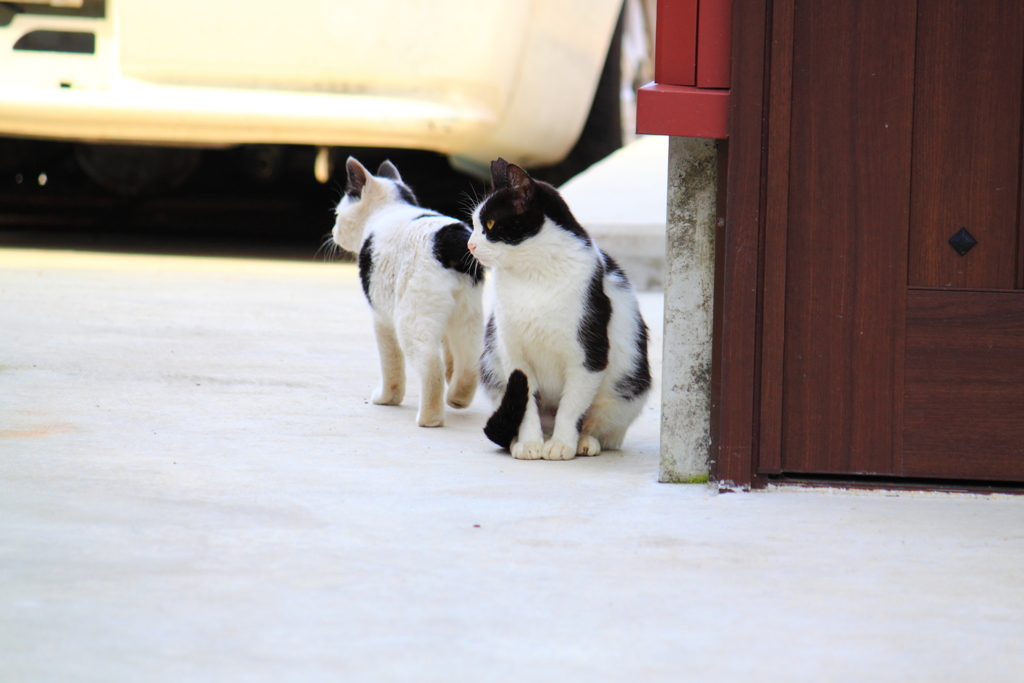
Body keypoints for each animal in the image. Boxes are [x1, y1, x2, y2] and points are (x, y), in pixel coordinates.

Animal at [331, 158, 483, 428]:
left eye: (338, 214)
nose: (333, 231)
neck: (389, 210)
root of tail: (449, 240)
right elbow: (451, 356)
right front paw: (452, 378)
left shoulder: (381, 319)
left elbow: (391, 364)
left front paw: (387, 399)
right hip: (468, 316)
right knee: (471, 359)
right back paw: (457, 398)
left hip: (409, 320)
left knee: (431, 364)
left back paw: (430, 418)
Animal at [466, 158, 647, 462]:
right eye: (474, 224)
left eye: (489, 224)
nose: (470, 244)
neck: (533, 275)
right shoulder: (513, 355)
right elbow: (527, 406)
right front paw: (529, 443)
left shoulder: (588, 354)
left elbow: (571, 407)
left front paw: (562, 444)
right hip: (494, 372)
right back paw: (522, 440)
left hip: (625, 392)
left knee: (600, 426)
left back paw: (583, 441)